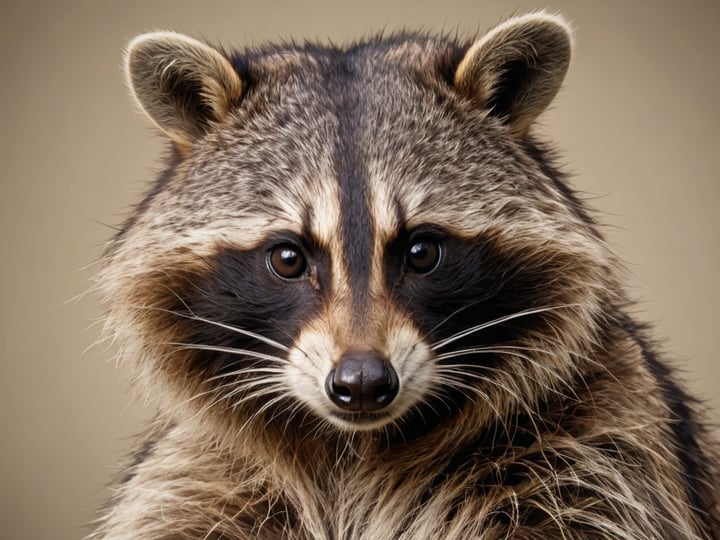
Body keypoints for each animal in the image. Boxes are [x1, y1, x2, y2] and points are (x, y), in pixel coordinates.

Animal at [93, 12, 719, 539]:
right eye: (289, 259)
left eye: (421, 252)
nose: (363, 383)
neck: (357, 451)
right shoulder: (198, 482)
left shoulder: (602, 454)